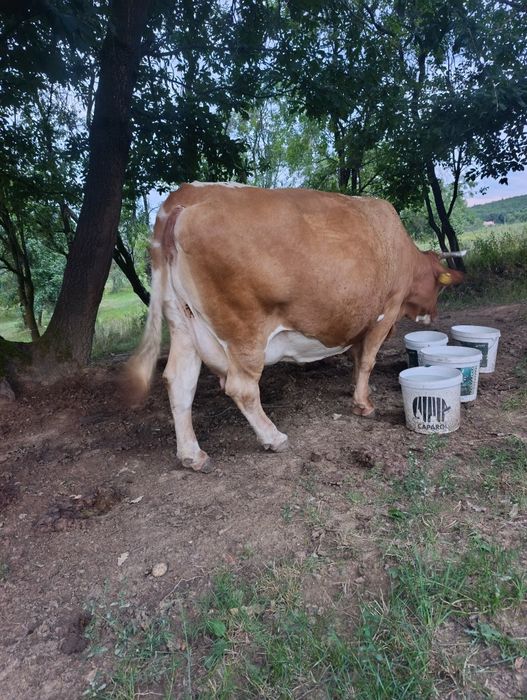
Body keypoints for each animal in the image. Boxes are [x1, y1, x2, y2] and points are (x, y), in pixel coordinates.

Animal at [124, 182, 463, 472]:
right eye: (438, 286)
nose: (433, 314)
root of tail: (187, 194)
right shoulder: (386, 312)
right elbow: (367, 360)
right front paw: (364, 405)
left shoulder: (357, 322)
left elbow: (356, 357)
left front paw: (357, 389)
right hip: (244, 331)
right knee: (241, 387)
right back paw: (273, 438)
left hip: (182, 323)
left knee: (179, 382)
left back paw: (193, 455)